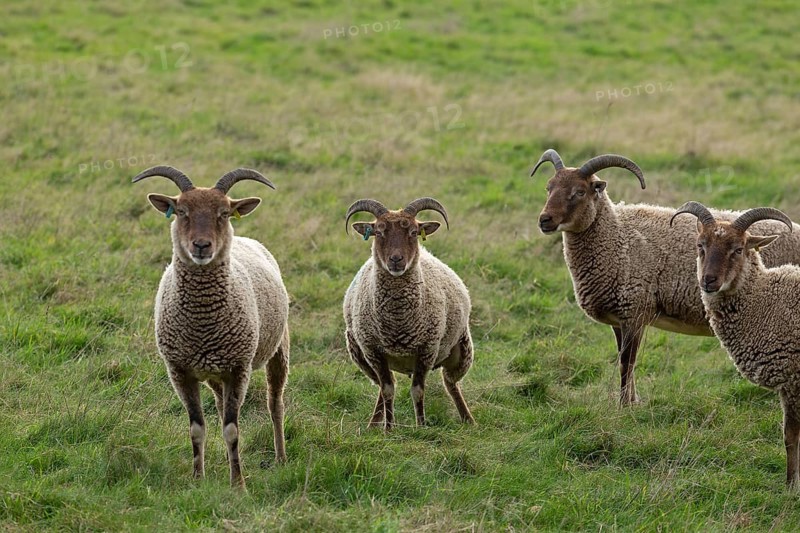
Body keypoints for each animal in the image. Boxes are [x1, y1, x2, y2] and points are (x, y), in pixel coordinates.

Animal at [133, 165, 289, 489]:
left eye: (224, 213)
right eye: (181, 211)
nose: (202, 246)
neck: (203, 322)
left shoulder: (239, 368)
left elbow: (231, 429)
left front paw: (238, 484)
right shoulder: (180, 372)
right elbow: (197, 427)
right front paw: (197, 479)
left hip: (278, 348)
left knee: (275, 403)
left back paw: (281, 457)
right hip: (216, 373)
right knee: (218, 406)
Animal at [343, 197, 474, 430]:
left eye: (414, 232)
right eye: (378, 231)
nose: (396, 260)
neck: (398, 321)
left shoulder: (427, 349)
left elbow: (418, 391)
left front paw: (421, 426)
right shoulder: (373, 351)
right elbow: (387, 390)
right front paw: (388, 428)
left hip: (461, 351)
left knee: (450, 383)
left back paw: (468, 419)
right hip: (360, 355)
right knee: (384, 385)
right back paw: (373, 424)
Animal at [531, 149, 800, 405]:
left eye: (579, 192)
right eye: (548, 187)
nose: (545, 220)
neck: (618, 236)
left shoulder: (635, 312)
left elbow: (627, 364)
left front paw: (624, 406)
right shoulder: (619, 319)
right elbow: (624, 362)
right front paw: (632, 402)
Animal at [671, 201, 800, 488]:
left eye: (738, 249)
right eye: (700, 245)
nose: (708, 280)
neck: (767, 302)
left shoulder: (793, 381)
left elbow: (791, 436)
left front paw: (790, 487)